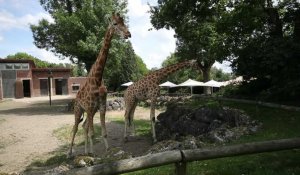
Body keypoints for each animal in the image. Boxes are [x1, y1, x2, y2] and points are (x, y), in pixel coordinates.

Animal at [68, 12, 131, 157]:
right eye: (115, 23)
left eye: (123, 22)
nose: (128, 34)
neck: (97, 78)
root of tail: (76, 97)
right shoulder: (90, 108)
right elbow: (92, 133)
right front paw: (95, 156)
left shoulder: (101, 107)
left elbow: (104, 133)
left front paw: (107, 152)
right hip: (79, 109)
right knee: (75, 127)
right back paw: (69, 153)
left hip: (90, 111)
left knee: (84, 126)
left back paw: (86, 151)